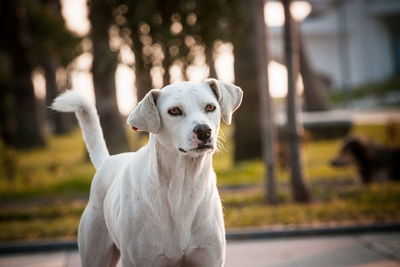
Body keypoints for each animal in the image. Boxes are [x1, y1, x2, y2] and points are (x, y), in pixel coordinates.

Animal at [51, 78, 242, 266]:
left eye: (210, 107)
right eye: (174, 111)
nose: (203, 131)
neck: (182, 188)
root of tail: (107, 160)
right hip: (95, 251)